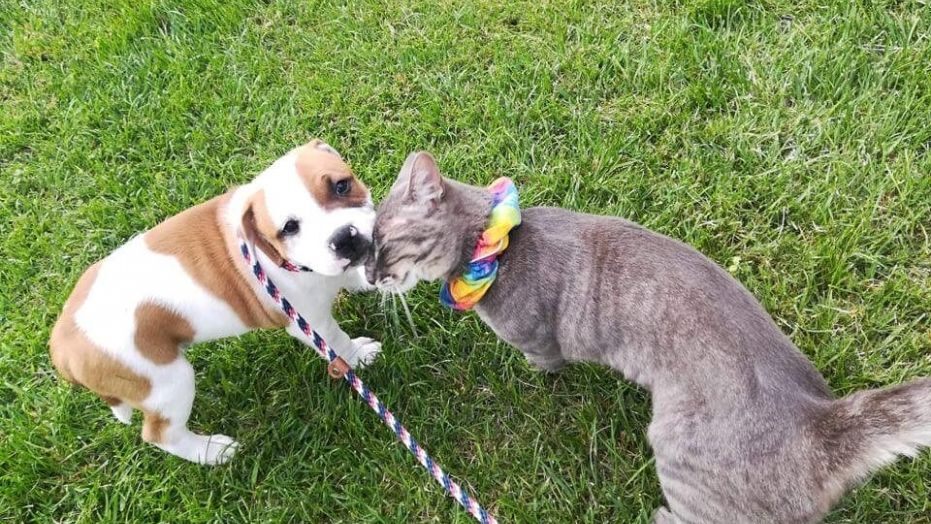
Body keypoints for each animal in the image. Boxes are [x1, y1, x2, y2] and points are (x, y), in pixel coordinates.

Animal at [49, 139, 378, 462]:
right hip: (167, 383)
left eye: (341, 186)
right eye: (289, 228)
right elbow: (336, 341)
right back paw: (213, 452)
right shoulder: (311, 321)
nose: (343, 237)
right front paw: (359, 354)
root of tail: (63, 345)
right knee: (162, 435)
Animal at [366, 151, 931, 524]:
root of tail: (822, 421)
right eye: (363, 245)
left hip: (680, 457)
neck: (494, 249)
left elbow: (544, 361)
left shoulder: (537, 338)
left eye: (381, 244)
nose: (369, 276)